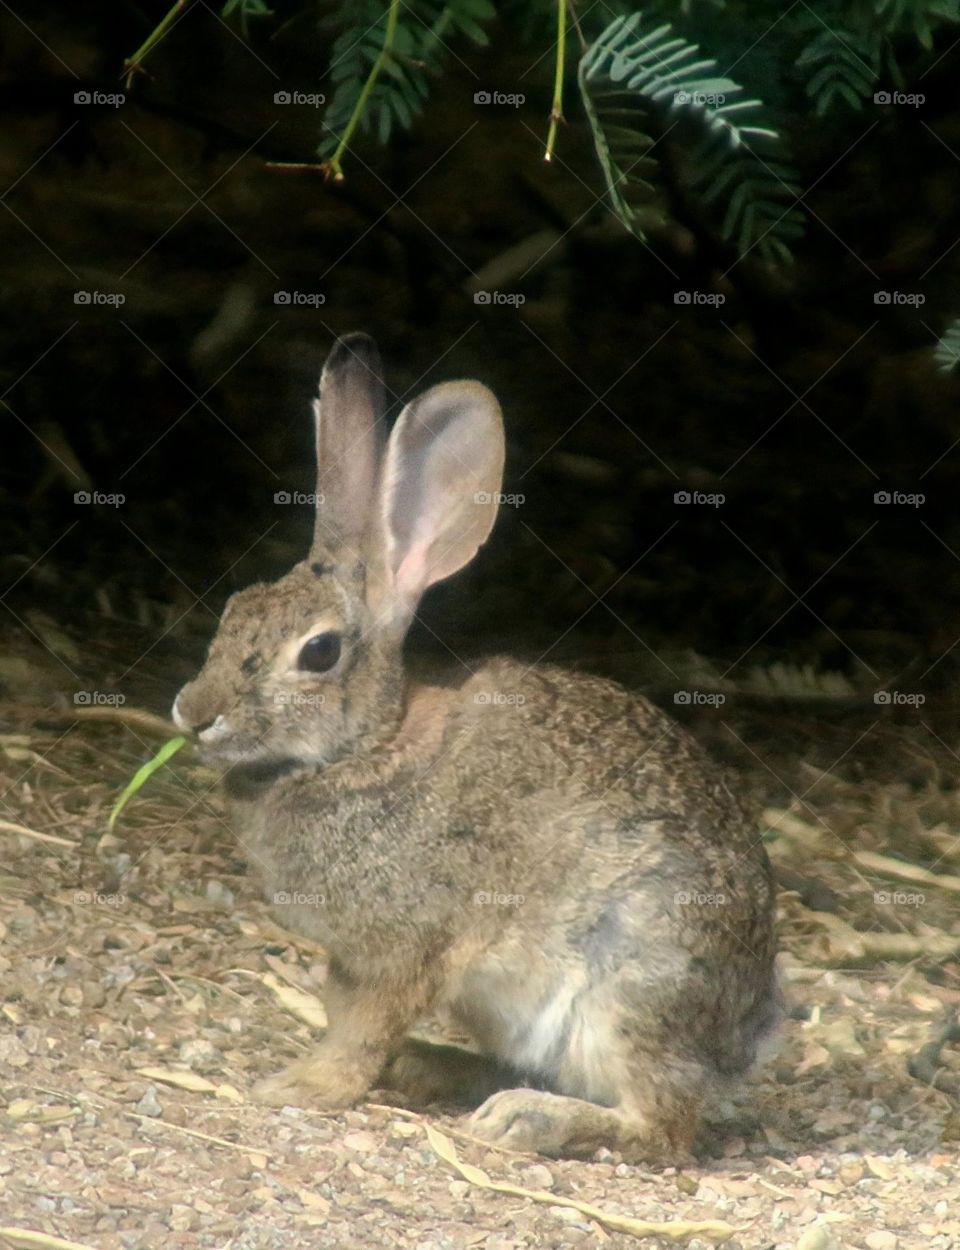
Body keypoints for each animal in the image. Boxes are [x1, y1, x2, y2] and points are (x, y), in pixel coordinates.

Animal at [172, 331, 780, 1163]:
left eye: (319, 652)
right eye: (235, 610)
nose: (191, 714)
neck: (369, 749)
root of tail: (745, 1039)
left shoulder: (405, 949)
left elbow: (362, 1029)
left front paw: (302, 1087)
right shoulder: (351, 958)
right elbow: (346, 1016)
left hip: (634, 981)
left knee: (661, 1124)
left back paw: (528, 1119)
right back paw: (434, 1070)